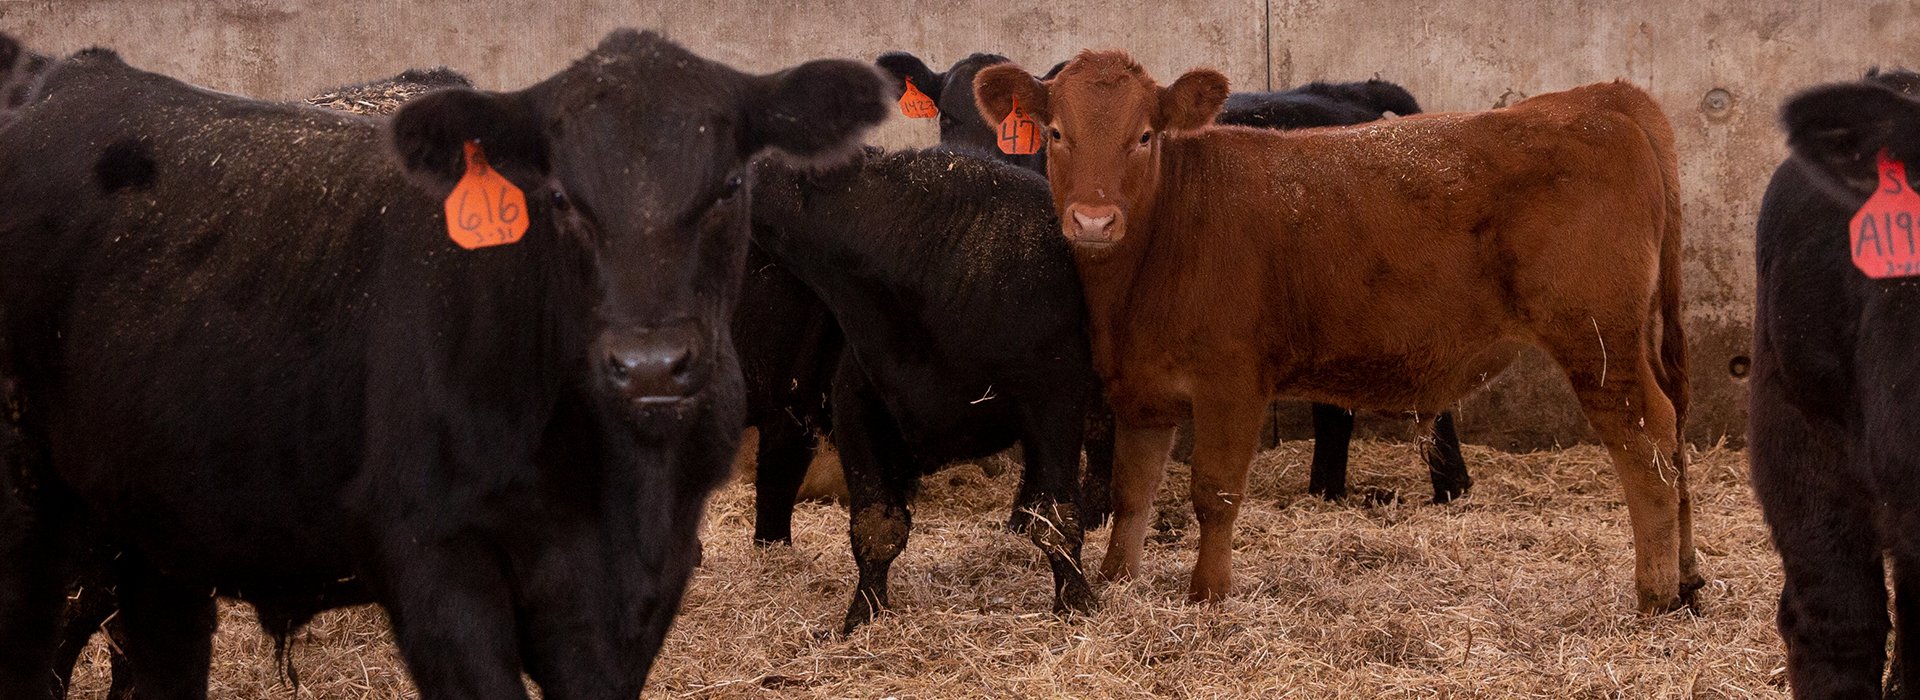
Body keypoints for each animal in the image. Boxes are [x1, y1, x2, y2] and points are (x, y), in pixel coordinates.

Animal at [0, 27, 883, 698]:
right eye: (558, 196)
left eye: (730, 185)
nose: (649, 367)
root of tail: (67, 78)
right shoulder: (433, 566)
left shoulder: (638, 585)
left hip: (157, 539)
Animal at [756, 148, 1105, 632]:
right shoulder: (855, 404)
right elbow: (875, 525)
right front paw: (864, 614)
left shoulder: (1056, 398)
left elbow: (1057, 516)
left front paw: (1077, 603)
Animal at [875, 51, 1466, 506]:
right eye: (946, 118)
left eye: (1027, 134)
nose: (974, 164)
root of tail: (1352, 92)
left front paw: (1093, 509)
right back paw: (1326, 493)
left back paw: (1450, 489)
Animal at [975, 53, 1697, 609]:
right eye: (1056, 133)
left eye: (1145, 136)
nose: (1093, 220)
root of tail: (1597, 98)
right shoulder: (1144, 386)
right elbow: (1132, 492)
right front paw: (1117, 580)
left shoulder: (1231, 379)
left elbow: (1214, 491)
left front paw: (1208, 593)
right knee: (1673, 432)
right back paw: (1688, 581)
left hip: (1599, 342)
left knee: (1647, 439)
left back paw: (1655, 592)